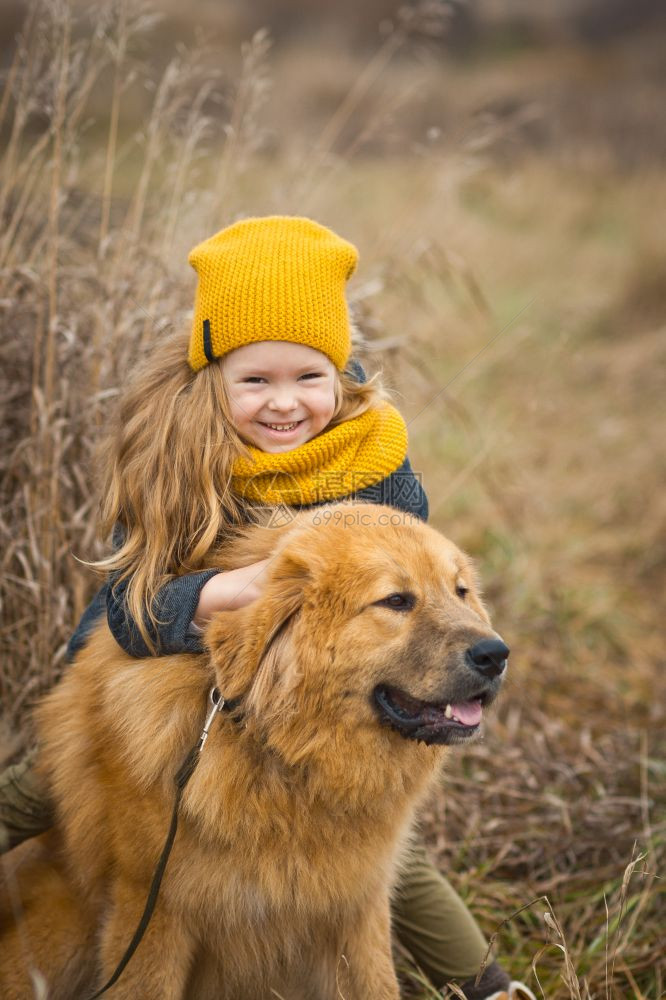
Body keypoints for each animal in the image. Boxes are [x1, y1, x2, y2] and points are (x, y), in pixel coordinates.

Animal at [1, 504, 508, 1000]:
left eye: (461, 592)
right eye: (396, 601)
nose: (496, 654)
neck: (287, 760)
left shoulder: (356, 908)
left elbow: (375, 984)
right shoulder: (151, 908)